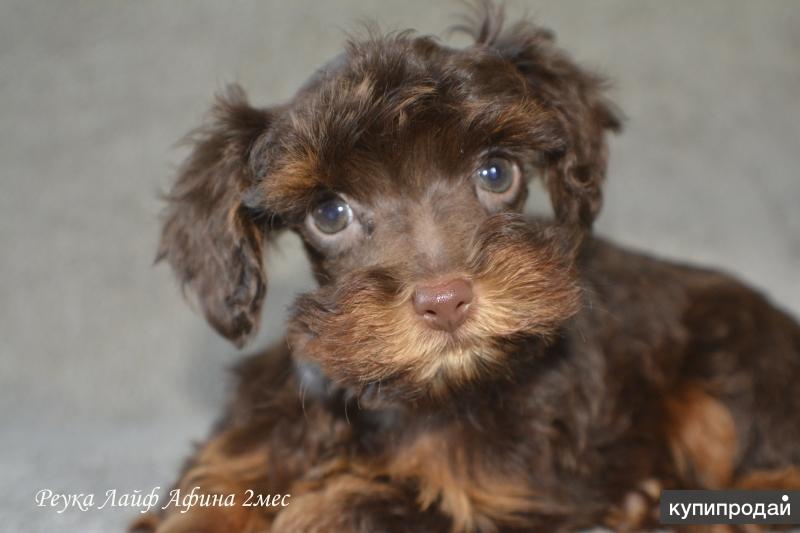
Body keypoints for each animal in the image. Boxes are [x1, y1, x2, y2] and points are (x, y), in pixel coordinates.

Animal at [133, 5, 800, 532]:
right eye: (329, 213)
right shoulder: (247, 446)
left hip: (730, 371)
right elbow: (208, 499)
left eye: (496, 173)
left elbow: (360, 505)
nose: (446, 299)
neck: (414, 393)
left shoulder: (498, 491)